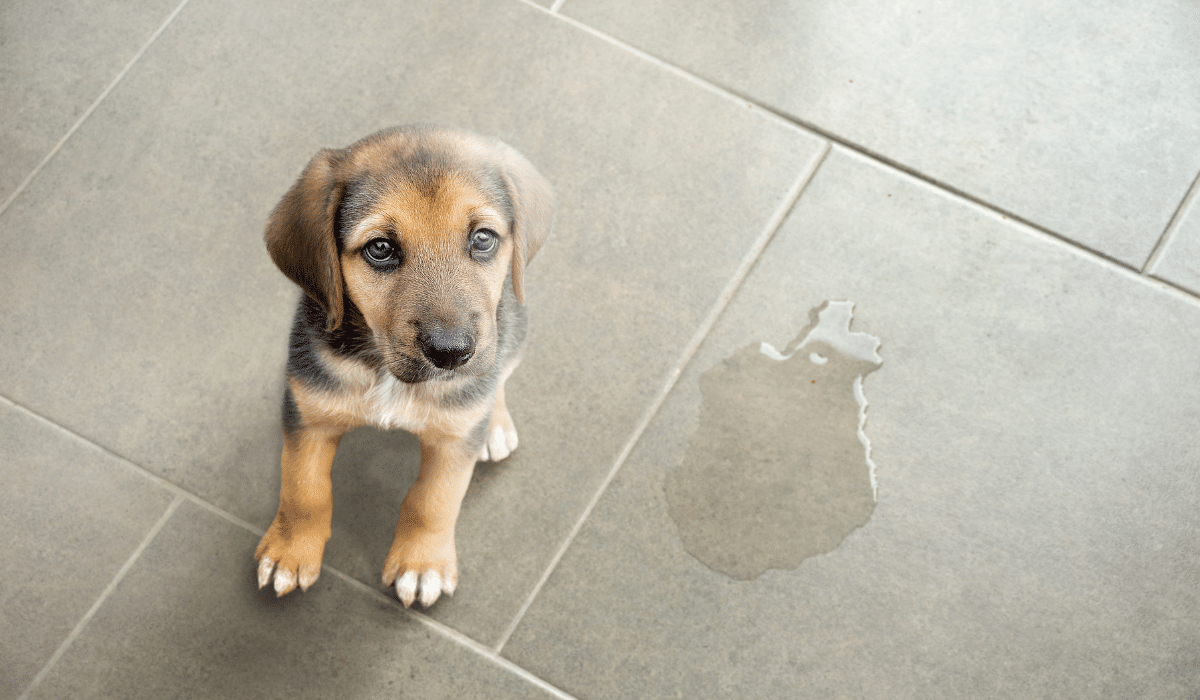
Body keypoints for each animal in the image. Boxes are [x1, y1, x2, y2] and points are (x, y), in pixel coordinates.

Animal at [256, 126, 552, 607]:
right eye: (380, 248)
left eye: (483, 238)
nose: (451, 352)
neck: (385, 371)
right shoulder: (310, 415)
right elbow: (304, 489)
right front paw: (290, 550)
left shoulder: (453, 442)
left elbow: (432, 500)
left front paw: (421, 563)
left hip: (512, 331)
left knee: (498, 377)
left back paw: (494, 425)